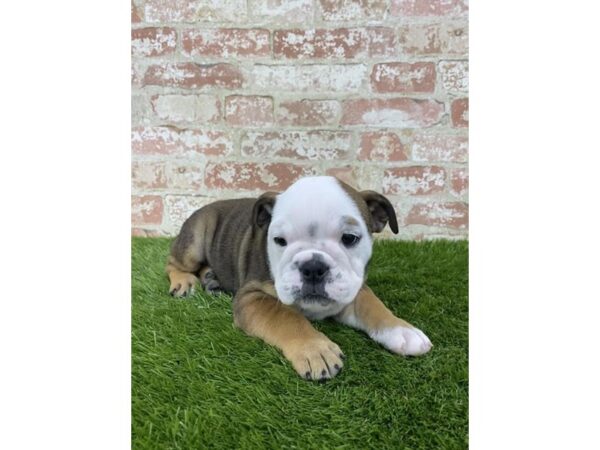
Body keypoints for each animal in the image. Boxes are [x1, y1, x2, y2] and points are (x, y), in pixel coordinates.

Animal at [168, 176, 432, 380]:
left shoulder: (352, 288)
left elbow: (372, 304)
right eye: (279, 240)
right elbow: (286, 316)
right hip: (195, 241)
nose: (313, 267)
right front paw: (315, 350)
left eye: (350, 238)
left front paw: (402, 330)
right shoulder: (252, 297)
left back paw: (211, 278)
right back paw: (184, 282)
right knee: (173, 261)